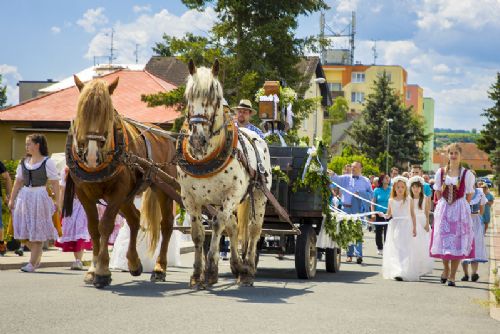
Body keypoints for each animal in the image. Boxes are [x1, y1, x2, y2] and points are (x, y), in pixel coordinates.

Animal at [63, 75, 178, 288]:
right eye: (82, 112)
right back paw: (133, 263)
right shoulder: (84, 194)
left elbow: (105, 225)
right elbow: (93, 229)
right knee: (134, 219)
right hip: (128, 196)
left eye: (107, 114)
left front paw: (102, 271)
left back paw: (159, 268)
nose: (91, 154)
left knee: (166, 224)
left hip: (162, 188)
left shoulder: (117, 191)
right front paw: (92, 270)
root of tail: (161, 132)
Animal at [178, 59, 272, 288]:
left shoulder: (231, 195)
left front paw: (211, 271)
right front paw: (197, 274)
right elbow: (198, 234)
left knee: (253, 230)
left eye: (216, 98)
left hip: (258, 196)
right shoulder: (189, 198)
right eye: (188, 96)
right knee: (234, 227)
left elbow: (217, 225)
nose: (197, 139)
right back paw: (238, 266)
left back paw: (248, 270)